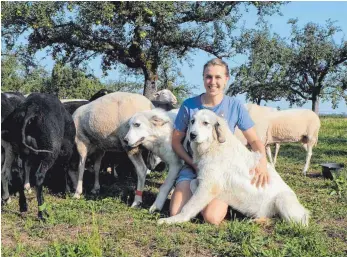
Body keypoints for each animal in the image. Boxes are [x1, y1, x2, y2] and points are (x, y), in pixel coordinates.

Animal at [158, 109, 310, 225]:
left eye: (205, 123)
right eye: (192, 121)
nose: (192, 135)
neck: (214, 145)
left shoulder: (209, 185)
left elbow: (188, 206)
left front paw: (173, 219)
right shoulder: (206, 182)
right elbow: (193, 183)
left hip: (282, 202)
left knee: (290, 222)